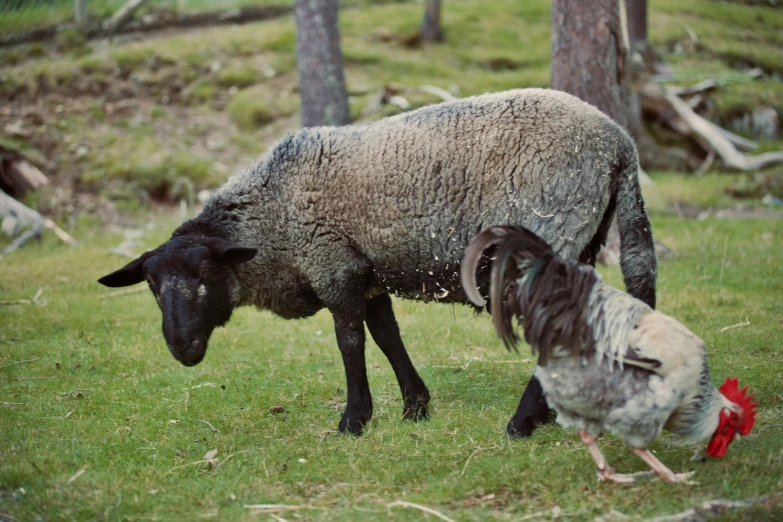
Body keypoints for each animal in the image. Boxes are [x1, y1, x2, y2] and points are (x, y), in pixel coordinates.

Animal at [101, 88, 660, 434]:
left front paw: (354, 420)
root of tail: (620, 142)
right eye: (151, 286)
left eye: (204, 275)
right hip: (581, 240)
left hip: (549, 233)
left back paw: (522, 423)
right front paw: (415, 406)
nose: (181, 347)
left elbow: (349, 342)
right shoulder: (364, 270)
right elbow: (387, 335)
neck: (272, 213)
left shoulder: (333, 264)